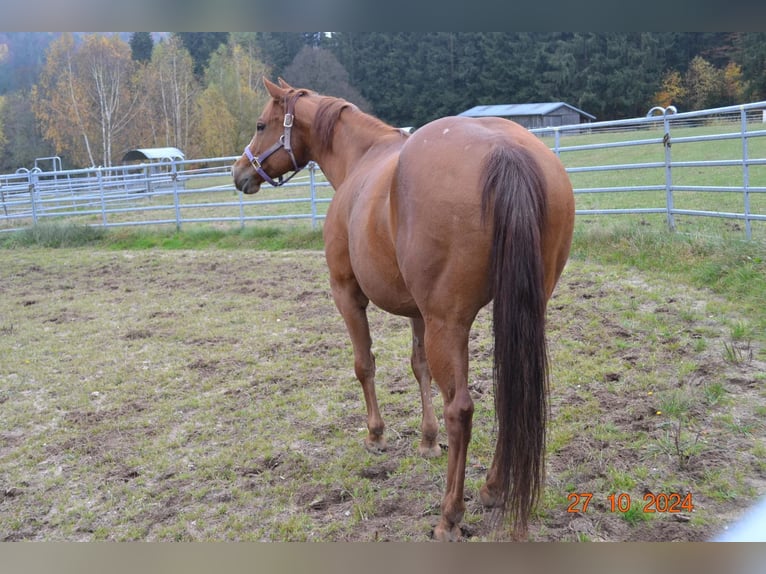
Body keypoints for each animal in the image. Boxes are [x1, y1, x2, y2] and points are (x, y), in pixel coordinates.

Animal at [234, 79, 576, 544]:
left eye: (260, 124)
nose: (239, 173)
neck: (362, 158)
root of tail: (505, 150)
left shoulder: (347, 293)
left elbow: (364, 364)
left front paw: (376, 434)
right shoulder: (418, 311)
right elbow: (419, 368)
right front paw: (427, 441)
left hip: (448, 322)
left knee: (461, 410)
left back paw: (450, 515)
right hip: (516, 312)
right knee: (508, 392)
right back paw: (492, 488)